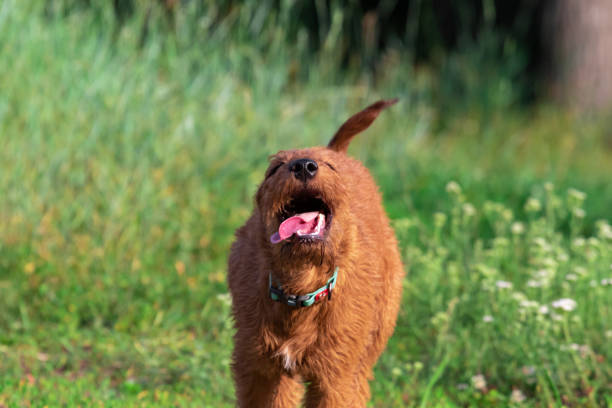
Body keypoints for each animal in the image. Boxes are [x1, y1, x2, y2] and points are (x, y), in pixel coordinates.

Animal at [227, 99, 404, 408]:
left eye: (330, 168)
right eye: (275, 168)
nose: (304, 166)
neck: (300, 287)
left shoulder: (335, 378)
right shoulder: (257, 368)